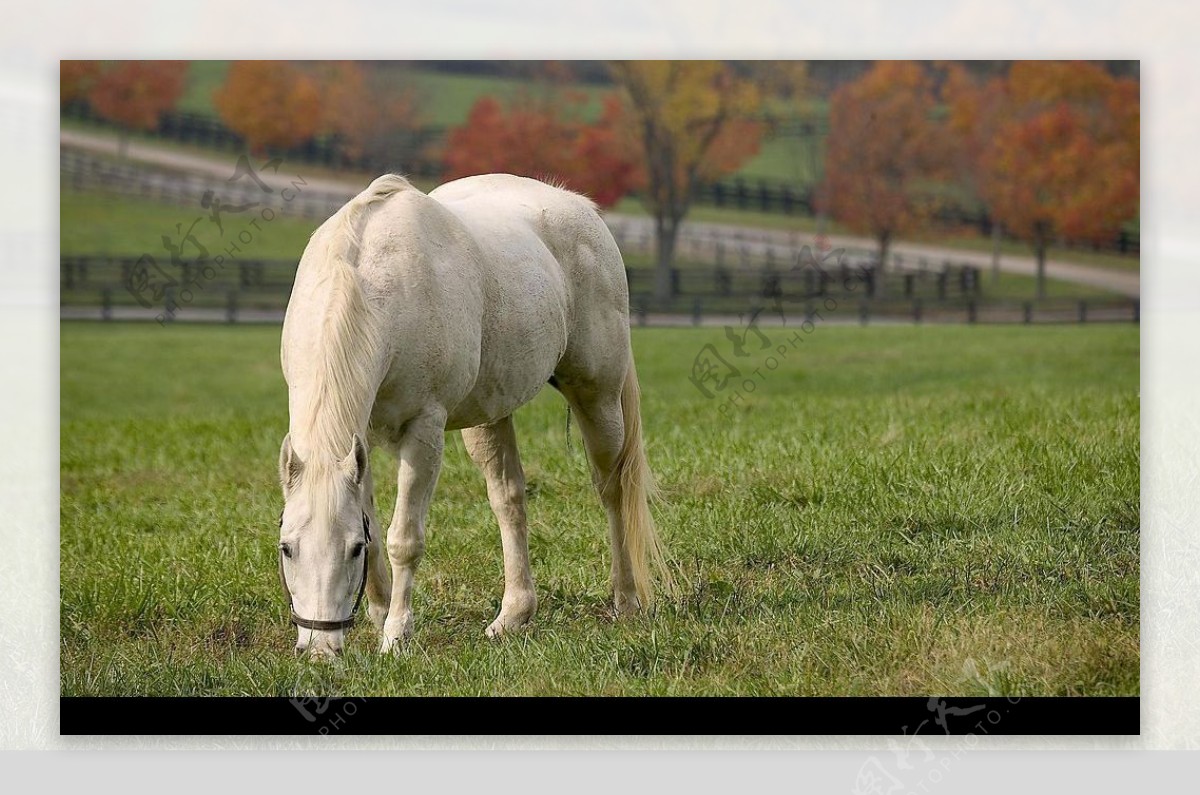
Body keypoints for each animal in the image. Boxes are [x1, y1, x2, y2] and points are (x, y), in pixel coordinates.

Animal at [277, 174, 672, 658]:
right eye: (287, 548)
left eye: (351, 549)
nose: (318, 648)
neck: (372, 287)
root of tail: (582, 209)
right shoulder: (360, 440)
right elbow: (377, 525)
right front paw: (379, 614)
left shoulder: (424, 431)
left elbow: (403, 538)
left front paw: (396, 635)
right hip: (490, 417)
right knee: (509, 499)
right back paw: (514, 615)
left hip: (598, 397)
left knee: (613, 489)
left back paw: (626, 600)